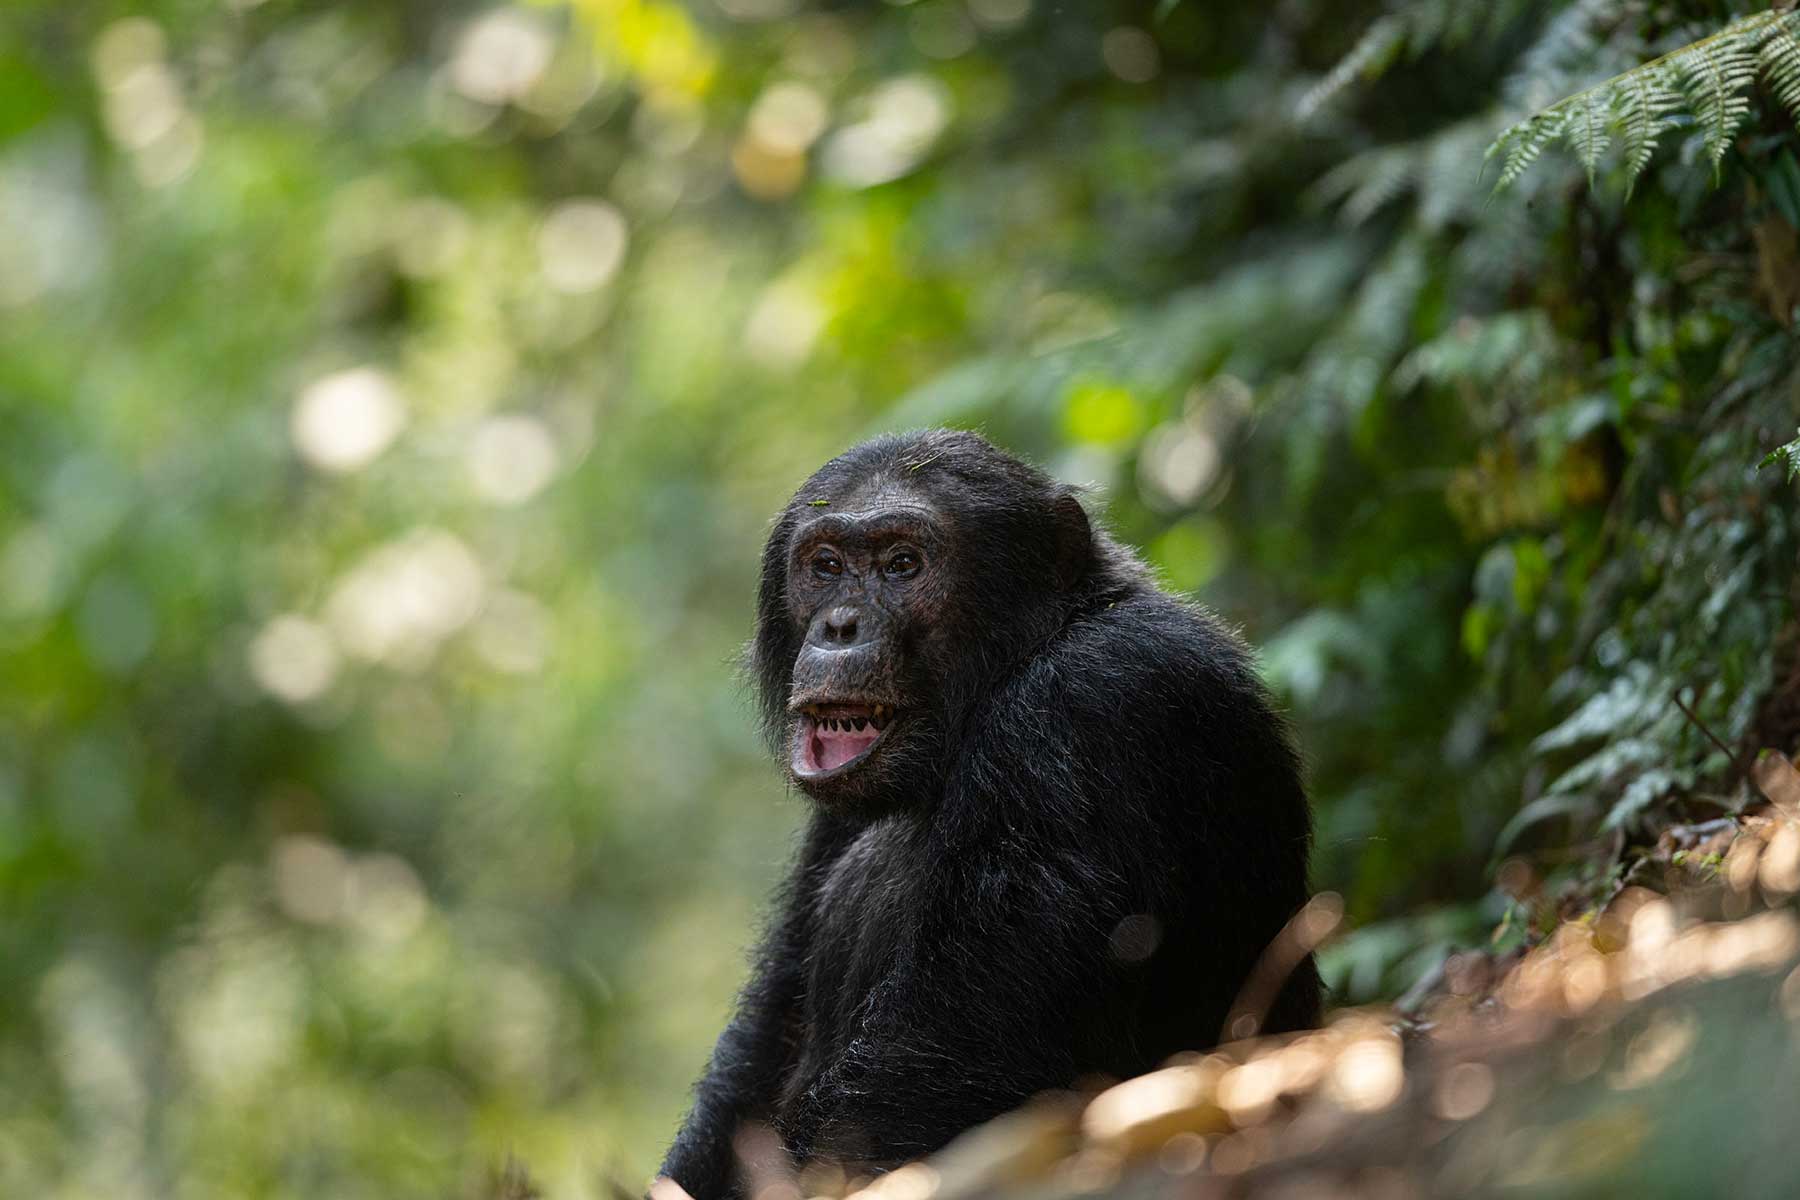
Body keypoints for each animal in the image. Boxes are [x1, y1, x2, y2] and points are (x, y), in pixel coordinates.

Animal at [662, 429, 1324, 1194]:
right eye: (825, 566)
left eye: (903, 564)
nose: (839, 626)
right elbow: (773, 1025)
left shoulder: (1088, 706)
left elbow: (944, 1059)